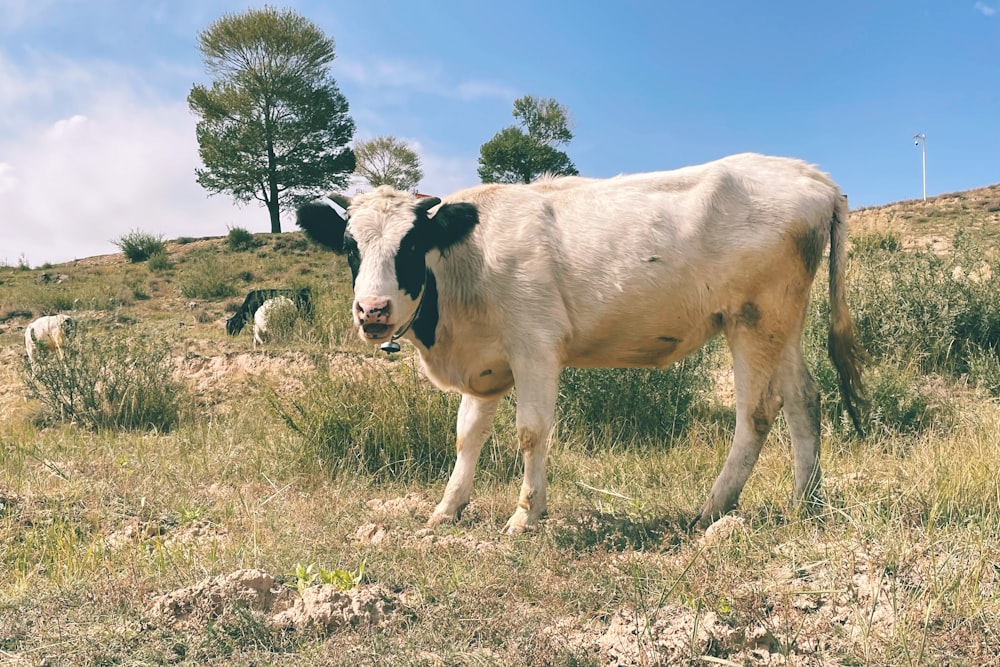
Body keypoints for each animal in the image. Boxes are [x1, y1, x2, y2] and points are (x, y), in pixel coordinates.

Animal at [294, 154, 868, 536]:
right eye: (350, 247)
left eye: (412, 245)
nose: (372, 311)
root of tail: (813, 175)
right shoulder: (485, 366)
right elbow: (467, 436)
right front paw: (446, 509)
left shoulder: (535, 348)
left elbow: (530, 433)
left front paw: (525, 516)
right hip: (782, 324)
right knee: (804, 399)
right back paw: (804, 502)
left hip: (753, 321)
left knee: (757, 411)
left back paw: (713, 509)